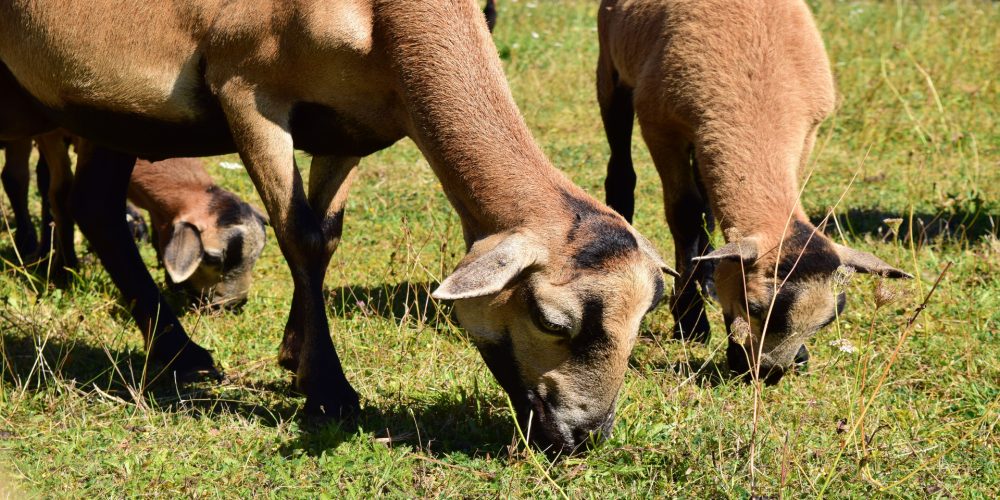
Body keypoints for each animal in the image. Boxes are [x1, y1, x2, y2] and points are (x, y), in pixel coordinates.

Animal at [1, 0, 673, 453]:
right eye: (550, 320)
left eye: (645, 319)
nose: (584, 436)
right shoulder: (248, 90)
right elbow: (298, 234)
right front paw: (329, 390)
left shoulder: (348, 125)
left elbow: (324, 238)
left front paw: (295, 356)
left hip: (106, 104)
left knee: (94, 203)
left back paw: (179, 353)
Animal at [597, 0, 911, 384]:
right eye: (755, 305)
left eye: (829, 319)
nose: (769, 372)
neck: (759, 100)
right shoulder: (661, 125)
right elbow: (685, 214)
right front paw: (690, 323)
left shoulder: (805, 135)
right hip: (611, 67)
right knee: (622, 172)